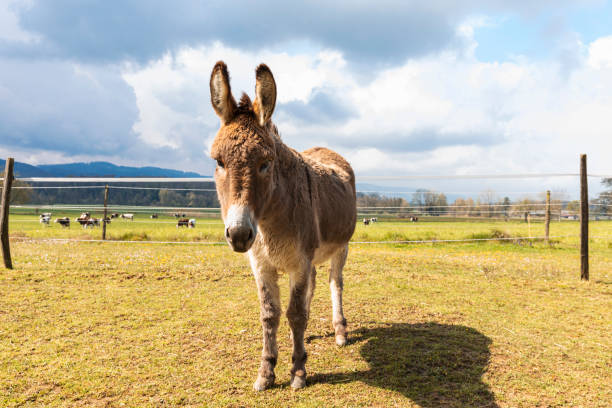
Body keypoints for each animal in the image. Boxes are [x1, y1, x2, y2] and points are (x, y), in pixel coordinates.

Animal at [210, 62, 356, 390]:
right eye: (219, 162)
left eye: (266, 163)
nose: (238, 234)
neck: (268, 223)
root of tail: (324, 148)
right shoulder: (262, 264)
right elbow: (270, 314)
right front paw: (266, 371)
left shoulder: (298, 262)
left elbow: (296, 313)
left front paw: (298, 371)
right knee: (312, 285)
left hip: (340, 247)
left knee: (334, 283)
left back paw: (340, 331)